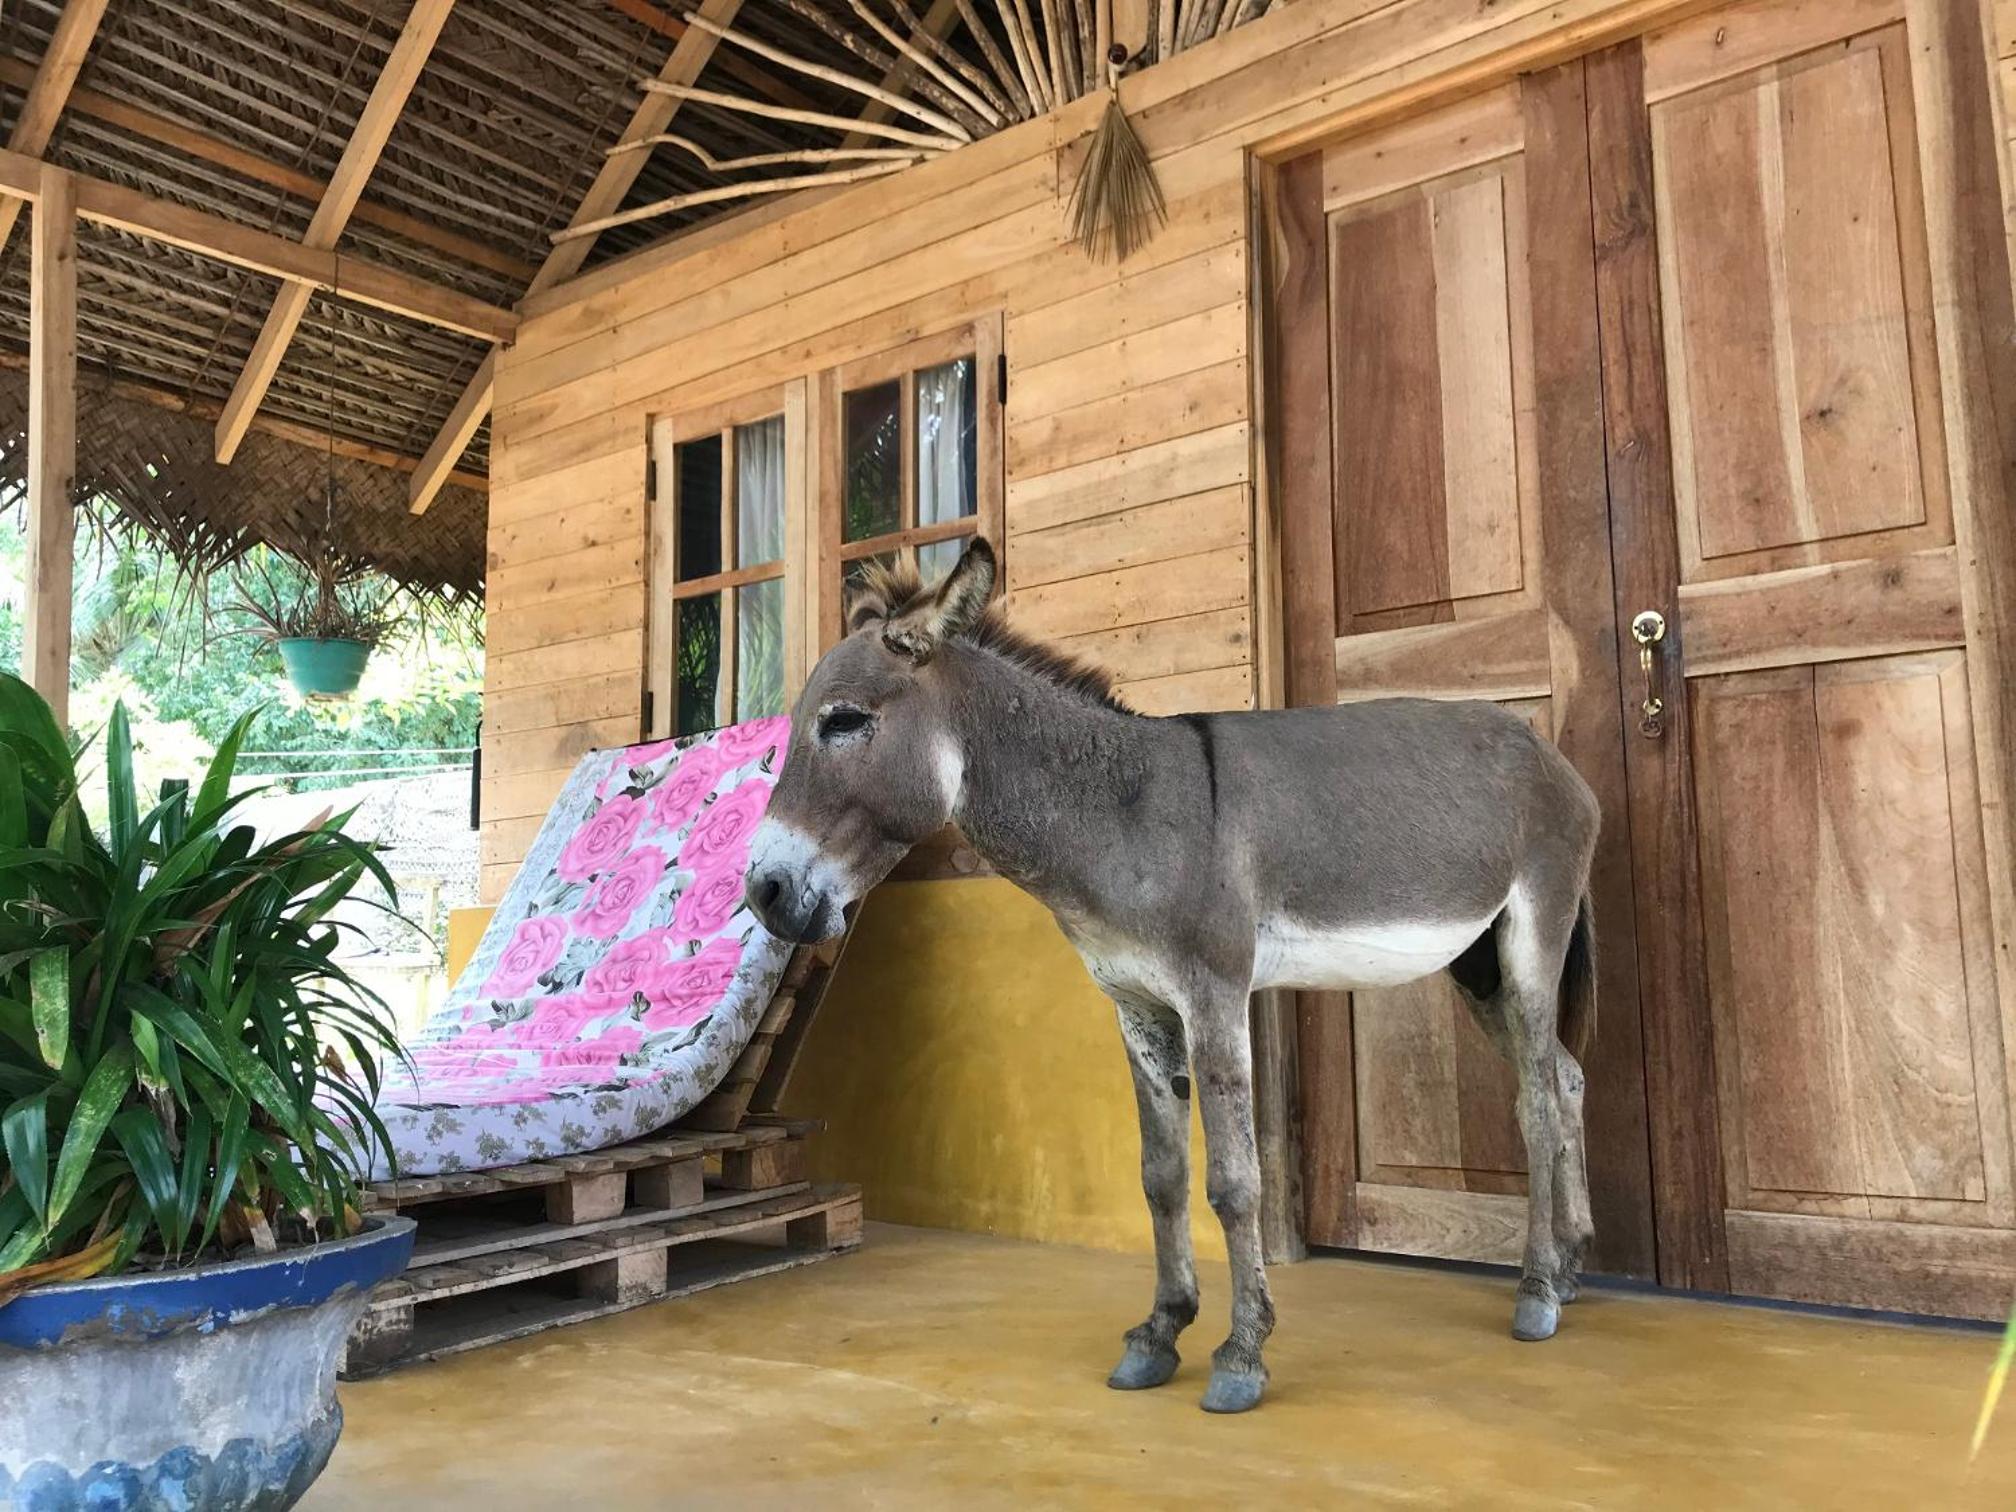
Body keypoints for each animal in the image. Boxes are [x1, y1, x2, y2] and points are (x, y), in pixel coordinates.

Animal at [744, 537, 1599, 1414]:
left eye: (845, 721)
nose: (761, 892)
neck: (1127, 816)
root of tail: (1548, 754)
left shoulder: (1213, 994)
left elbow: (1233, 1180)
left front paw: (1242, 1355)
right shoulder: (1137, 1006)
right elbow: (1160, 1177)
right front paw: (1159, 1332)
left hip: (1534, 932)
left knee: (1536, 1100)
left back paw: (1536, 1292)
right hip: (1477, 965)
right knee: (1564, 1077)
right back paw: (1569, 1268)